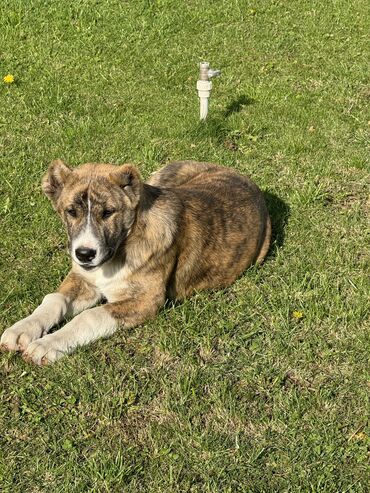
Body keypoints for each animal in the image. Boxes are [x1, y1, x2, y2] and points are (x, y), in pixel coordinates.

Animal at [0, 160, 272, 364]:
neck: (122, 247)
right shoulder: (83, 279)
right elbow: (54, 299)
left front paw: (48, 344)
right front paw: (23, 328)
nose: (85, 254)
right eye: (71, 212)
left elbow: (89, 317)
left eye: (108, 213)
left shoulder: (145, 301)